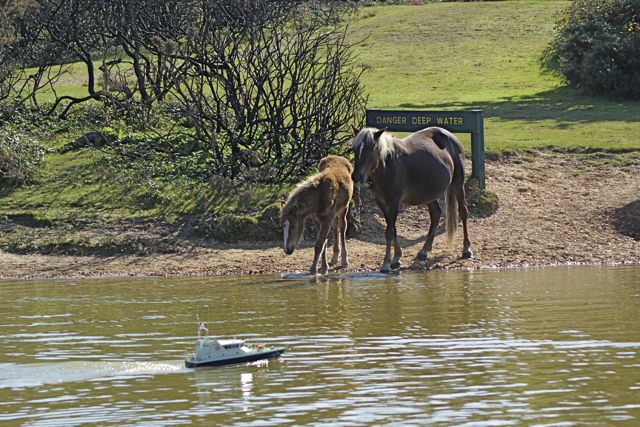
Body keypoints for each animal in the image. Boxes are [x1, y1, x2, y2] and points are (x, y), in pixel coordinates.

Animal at [350, 127, 470, 274]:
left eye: (371, 148)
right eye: (354, 149)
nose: (356, 176)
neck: (387, 166)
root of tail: (450, 136)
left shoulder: (394, 202)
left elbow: (389, 231)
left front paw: (386, 263)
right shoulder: (382, 202)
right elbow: (392, 229)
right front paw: (396, 258)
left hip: (458, 183)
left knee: (463, 212)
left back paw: (466, 249)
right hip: (428, 193)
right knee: (436, 214)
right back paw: (424, 251)